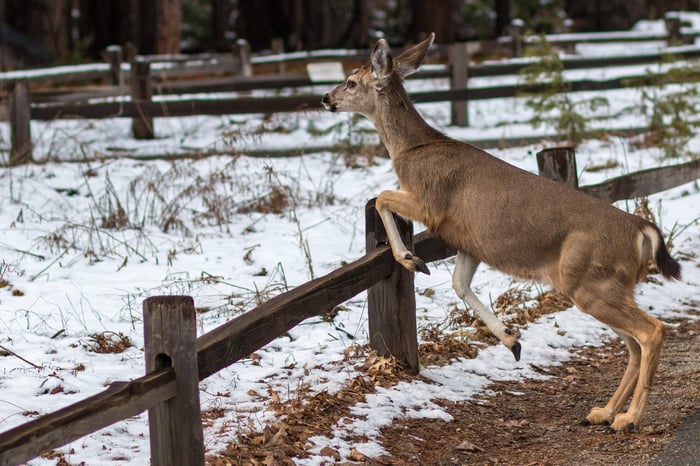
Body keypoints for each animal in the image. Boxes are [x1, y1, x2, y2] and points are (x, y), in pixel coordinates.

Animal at [321, 33, 681, 432]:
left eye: (351, 81)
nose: (326, 98)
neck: (411, 150)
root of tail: (641, 230)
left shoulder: (432, 204)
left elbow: (381, 197)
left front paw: (411, 259)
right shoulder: (468, 240)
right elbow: (460, 285)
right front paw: (512, 340)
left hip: (591, 281)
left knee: (651, 331)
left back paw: (628, 418)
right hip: (601, 285)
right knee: (633, 342)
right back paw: (604, 411)